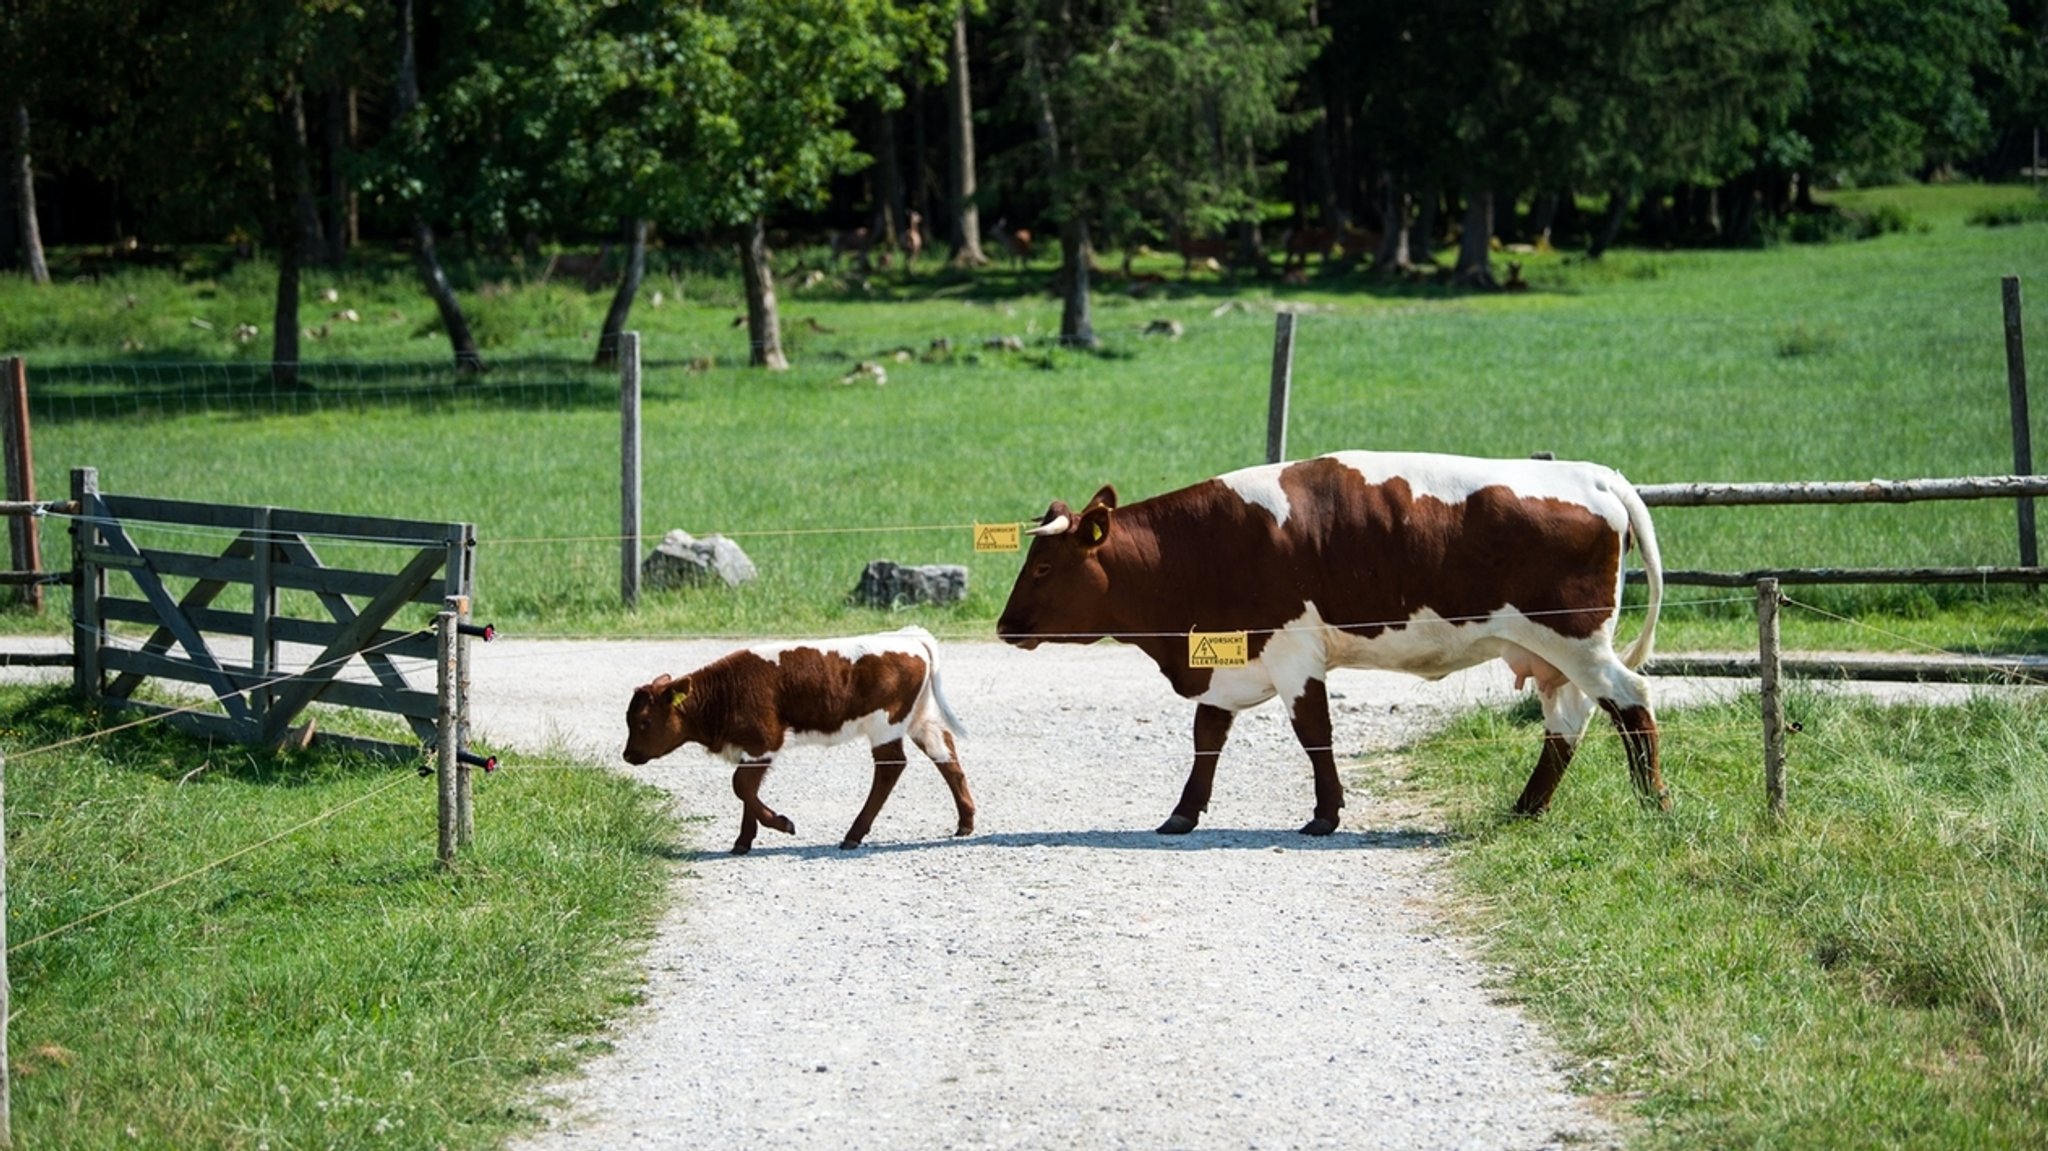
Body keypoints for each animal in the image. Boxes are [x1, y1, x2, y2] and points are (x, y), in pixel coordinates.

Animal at [618, 626, 978, 851]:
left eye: (644, 721)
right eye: (629, 720)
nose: (628, 755)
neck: (726, 692)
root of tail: (910, 638)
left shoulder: (764, 740)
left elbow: (741, 786)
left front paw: (782, 824)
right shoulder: (751, 748)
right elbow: (747, 790)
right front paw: (743, 841)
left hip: (885, 725)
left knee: (891, 768)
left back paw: (854, 834)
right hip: (918, 719)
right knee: (945, 753)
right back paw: (965, 821)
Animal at [999, 448, 1671, 831]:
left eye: (1043, 567)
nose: (1005, 627)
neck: (1202, 546)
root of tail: (1594, 475)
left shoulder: (1293, 651)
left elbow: (1314, 734)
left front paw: (1324, 816)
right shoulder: (1226, 658)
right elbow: (1206, 737)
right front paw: (1182, 813)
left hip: (1576, 640)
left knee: (1631, 701)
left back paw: (1655, 804)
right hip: (1550, 653)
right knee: (1568, 723)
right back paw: (1527, 808)